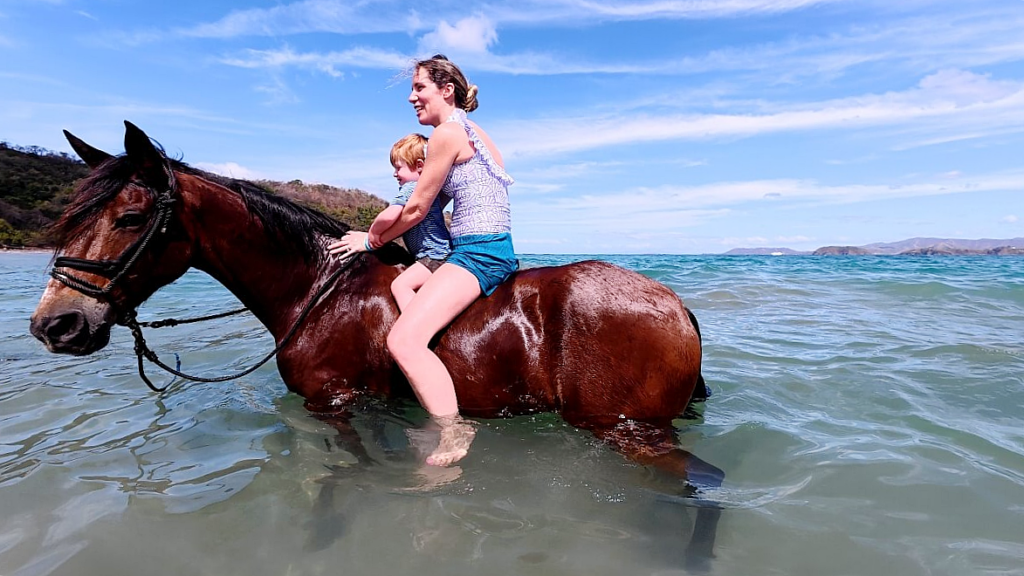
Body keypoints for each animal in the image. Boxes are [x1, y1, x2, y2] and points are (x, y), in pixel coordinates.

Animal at [29, 121, 723, 567]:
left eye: (131, 217)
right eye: (71, 216)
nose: (56, 326)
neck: (316, 289)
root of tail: (671, 302)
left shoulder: (333, 405)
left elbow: (343, 474)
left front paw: (323, 532)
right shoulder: (371, 406)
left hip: (624, 428)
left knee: (709, 483)